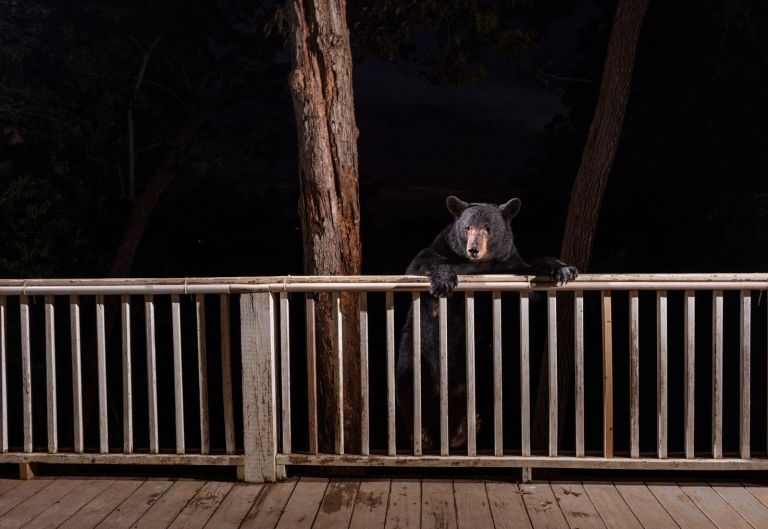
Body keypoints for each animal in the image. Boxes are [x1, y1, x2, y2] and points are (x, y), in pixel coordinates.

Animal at [396, 195, 578, 451]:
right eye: (467, 227)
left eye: (489, 229)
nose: (473, 249)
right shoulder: (440, 246)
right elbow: (421, 263)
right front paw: (444, 280)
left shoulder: (512, 261)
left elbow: (531, 281)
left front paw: (563, 268)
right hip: (414, 349)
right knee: (409, 384)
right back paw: (422, 434)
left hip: (480, 367)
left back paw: (463, 430)